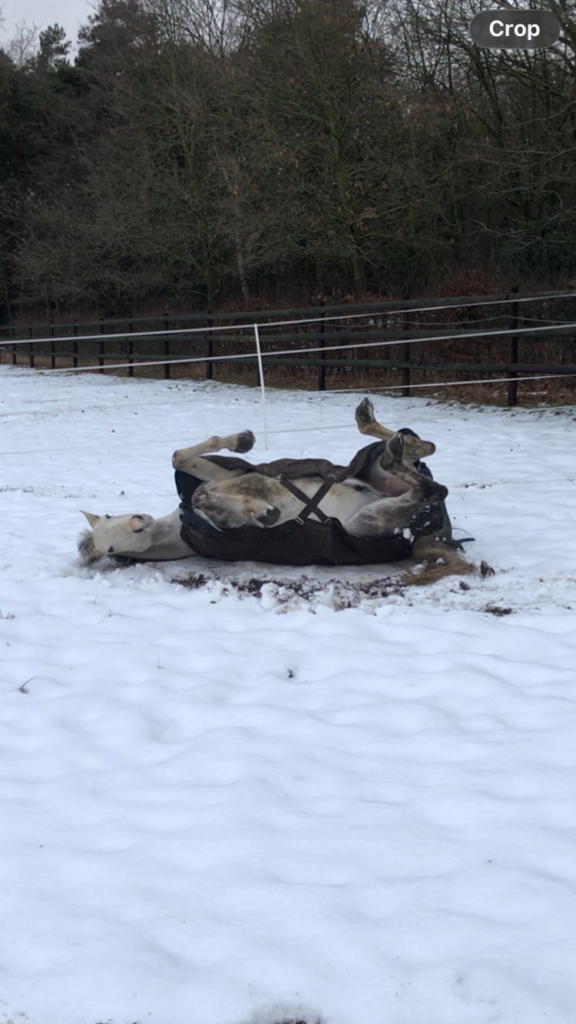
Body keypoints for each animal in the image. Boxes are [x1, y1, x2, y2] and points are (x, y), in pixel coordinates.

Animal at [78, 398, 476, 585]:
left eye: (112, 515)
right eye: (108, 548)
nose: (138, 523)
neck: (186, 525)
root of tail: (436, 533)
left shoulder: (214, 472)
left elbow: (180, 459)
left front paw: (242, 440)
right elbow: (205, 498)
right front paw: (263, 511)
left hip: (376, 473)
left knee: (422, 450)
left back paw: (384, 430)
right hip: (370, 519)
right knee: (432, 487)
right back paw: (392, 444)